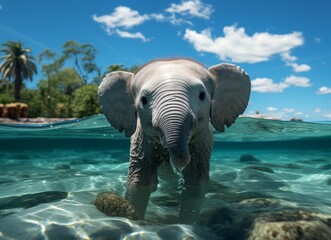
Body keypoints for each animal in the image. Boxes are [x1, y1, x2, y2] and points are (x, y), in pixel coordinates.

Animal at [98, 58, 252, 223]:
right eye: (143, 100)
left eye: (202, 95)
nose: (179, 163)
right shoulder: (140, 139)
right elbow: (139, 181)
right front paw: (135, 220)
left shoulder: (203, 141)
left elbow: (196, 183)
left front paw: (185, 224)